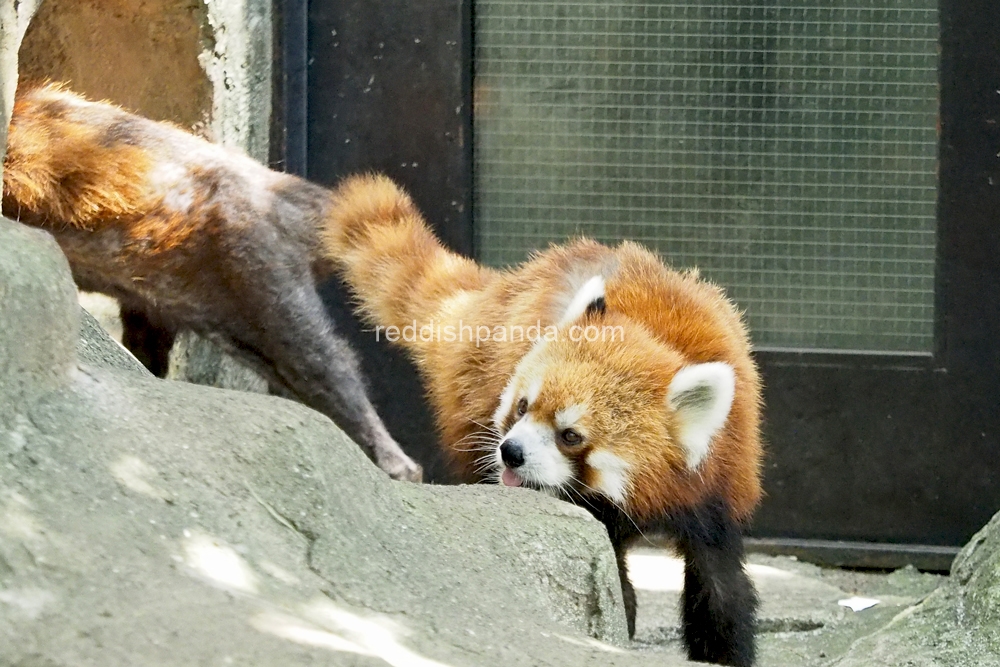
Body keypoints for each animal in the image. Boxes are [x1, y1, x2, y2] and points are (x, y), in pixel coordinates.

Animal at [324, 175, 760, 664]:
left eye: (570, 435)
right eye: (521, 406)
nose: (511, 452)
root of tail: (499, 291)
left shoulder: (720, 479)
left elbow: (720, 585)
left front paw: (725, 649)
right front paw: (611, 621)